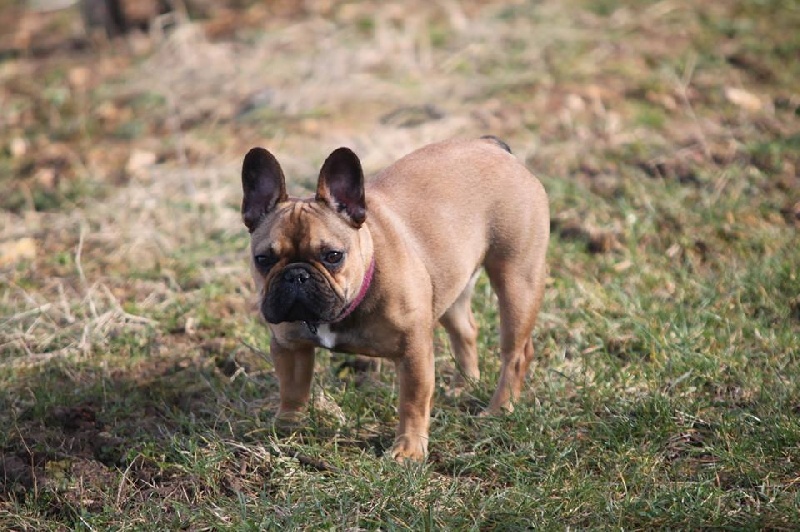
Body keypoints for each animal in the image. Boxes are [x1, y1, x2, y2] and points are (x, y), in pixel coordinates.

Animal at [241, 138, 548, 462]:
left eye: (333, 256)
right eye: (263, 259)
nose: (296, 275)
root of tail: (491, 145)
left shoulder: (414, 353)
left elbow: (412, 401)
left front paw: (409, 449)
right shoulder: (290, 347)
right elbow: (292, 388)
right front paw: (286, 426)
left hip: (517, 279)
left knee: (516, 353)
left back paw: (500, 409)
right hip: (449, 284)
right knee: (465, 331)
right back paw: (464, 386)